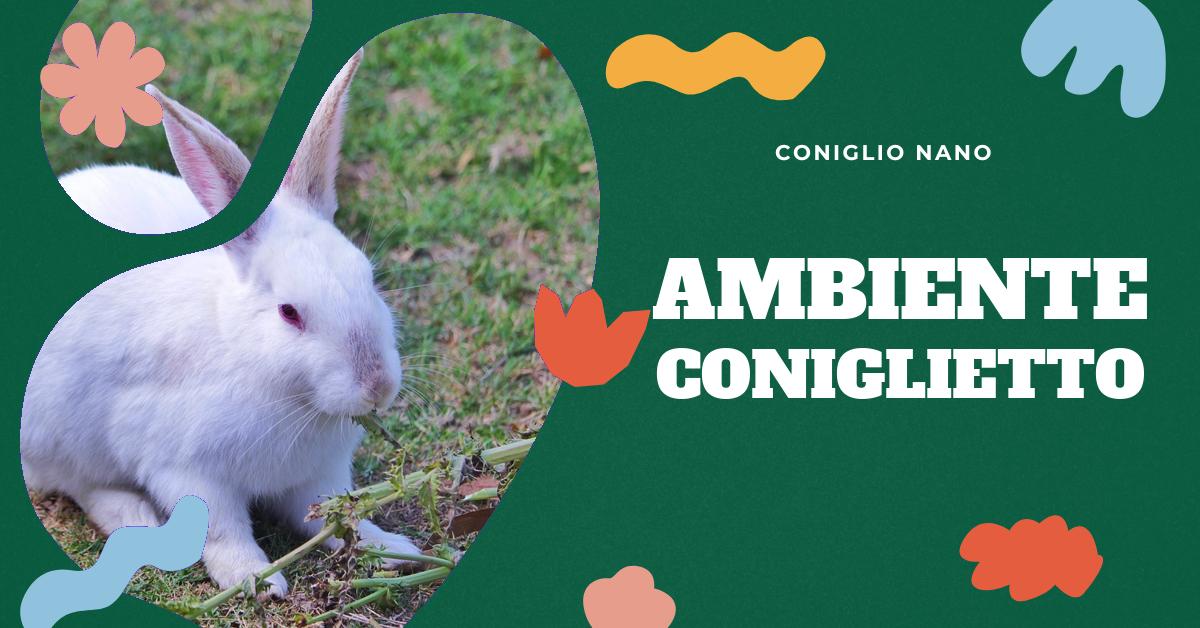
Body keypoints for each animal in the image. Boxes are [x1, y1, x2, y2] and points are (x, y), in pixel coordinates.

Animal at [21, 50, 423, 598]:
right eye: (289, 313)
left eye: (369, 278)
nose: (377, 387)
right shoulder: (187, 470)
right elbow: (223, 530)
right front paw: (254, 579)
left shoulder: (319, 475)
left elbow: (338, 515)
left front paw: (394, 549)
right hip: (58, 433)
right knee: (77, 484)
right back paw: (136, 517)